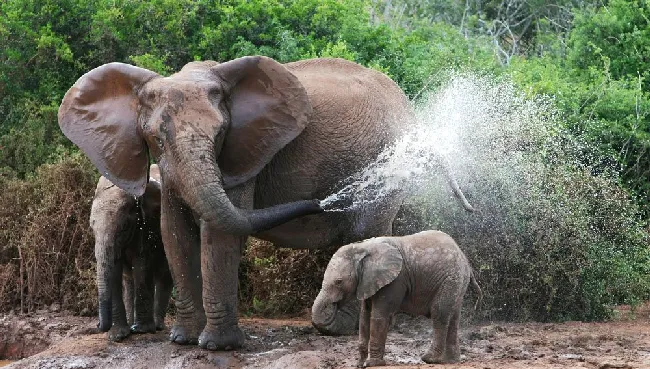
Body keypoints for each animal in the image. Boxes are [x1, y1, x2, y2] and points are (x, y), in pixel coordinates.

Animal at [91, 162, 173, 340]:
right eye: (92, 227)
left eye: (123, 227)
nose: (98, 325)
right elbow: (115, 271)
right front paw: (118, 336)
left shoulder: (147, 223)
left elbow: (141, 262)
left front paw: (142, 330)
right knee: (129, 280)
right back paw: (131, 324)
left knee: (164, 275)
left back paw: (156, 326)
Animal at [312, 230, 478, 366]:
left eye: (338, 282)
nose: (334, 305)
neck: (362, 247)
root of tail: (464, 258)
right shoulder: (368, 281)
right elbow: (364, 317)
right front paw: (359, 364)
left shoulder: (395, 280)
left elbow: (379, 316)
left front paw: (373, 364)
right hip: (457, 282)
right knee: (454, 318)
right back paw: (451, 361)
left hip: (450, 279)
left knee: (439, 313)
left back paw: (429, 359)